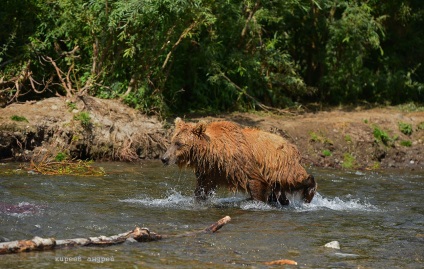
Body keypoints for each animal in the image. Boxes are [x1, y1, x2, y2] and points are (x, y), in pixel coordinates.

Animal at [161, 117, 316, 205]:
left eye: (179, 144)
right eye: (172, 141)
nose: (164, 158)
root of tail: (293, 146)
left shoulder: (242, 163)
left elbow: (255, 182)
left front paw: (257, 201)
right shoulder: (211, 171)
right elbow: (202, 189)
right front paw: (199, 199)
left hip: (280, 165)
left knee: (293, 178)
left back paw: (308, 193)